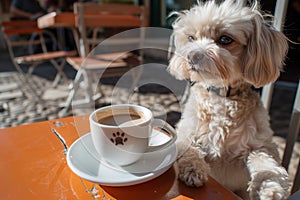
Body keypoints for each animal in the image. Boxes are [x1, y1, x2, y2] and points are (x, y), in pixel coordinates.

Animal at [170, 0, 292, 200]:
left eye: (225, 40)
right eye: (191, 38)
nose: (192, 55)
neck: (221, 96)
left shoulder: (262, 144)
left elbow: (265, 161)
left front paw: (270, 185)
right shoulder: (185, 131)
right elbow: (189, 148)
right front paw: (193, 168)